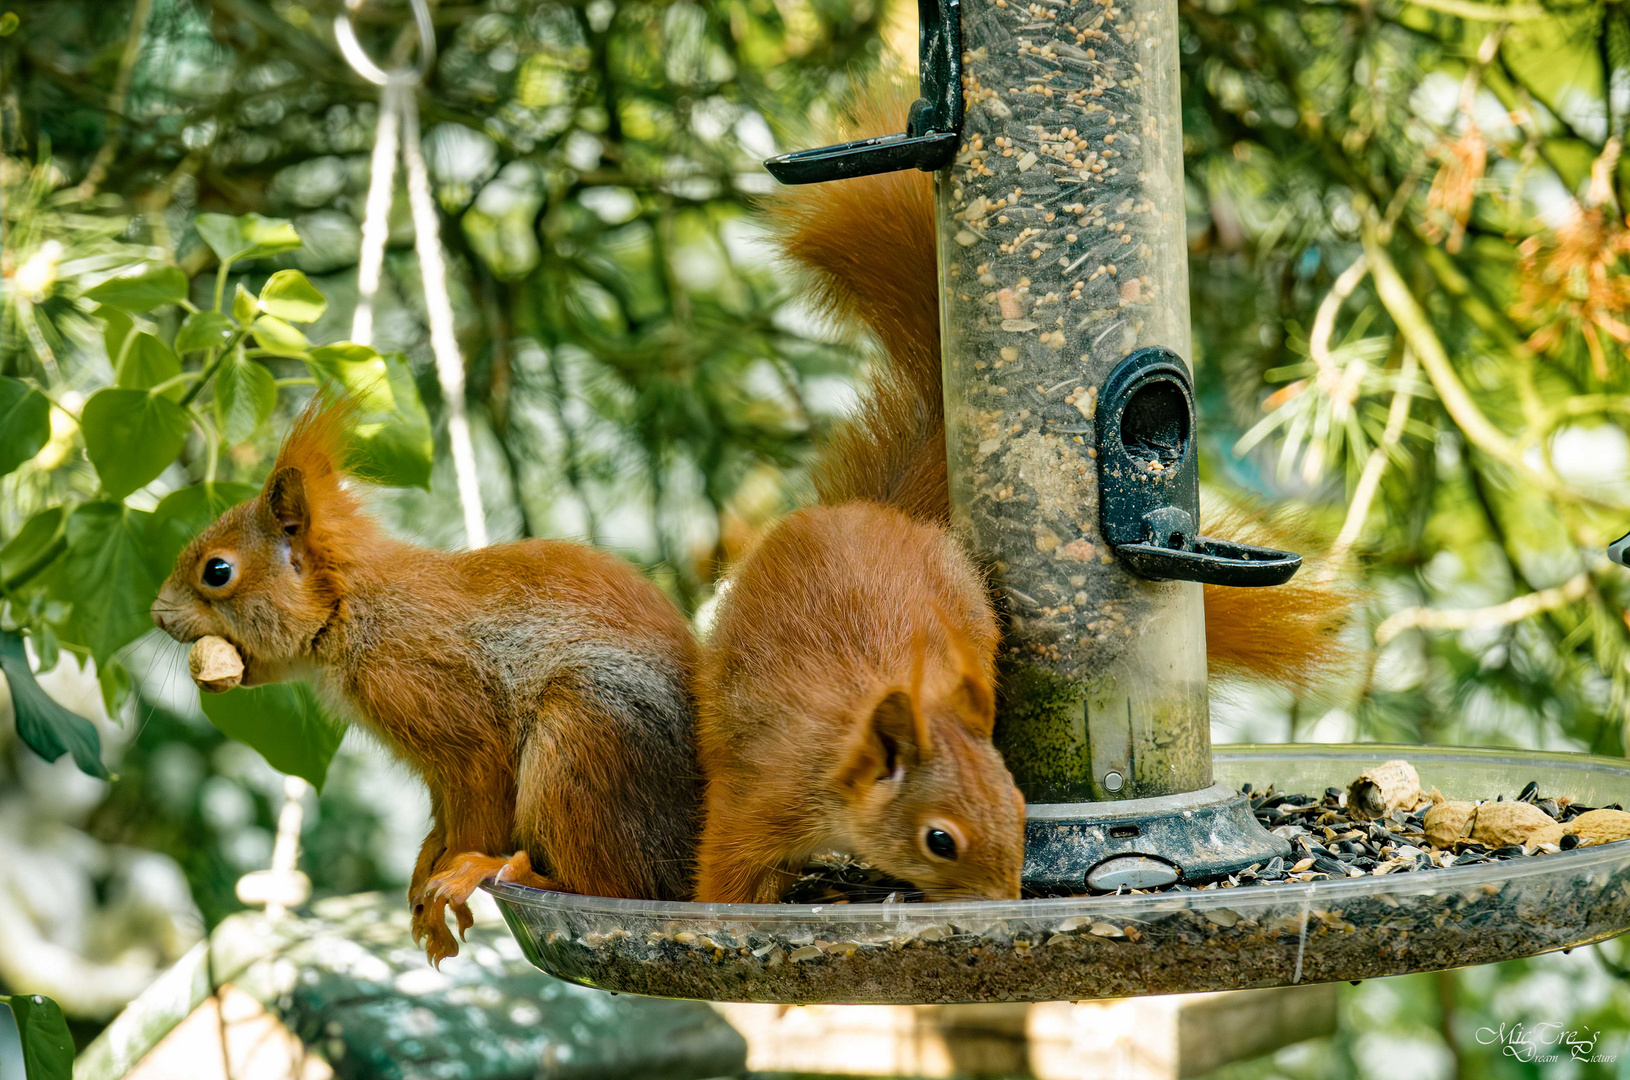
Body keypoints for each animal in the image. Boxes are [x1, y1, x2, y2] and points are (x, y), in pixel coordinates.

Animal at [154, 403, 707, 964]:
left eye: (217, 571)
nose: (157, 615)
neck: (356, 608)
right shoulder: (440, 773)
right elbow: (443, 823)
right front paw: (424, 870)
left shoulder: (445, 712)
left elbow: (475, 809)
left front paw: (451, 879)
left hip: (583, 741)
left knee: (608, 884)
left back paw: (505, 871)